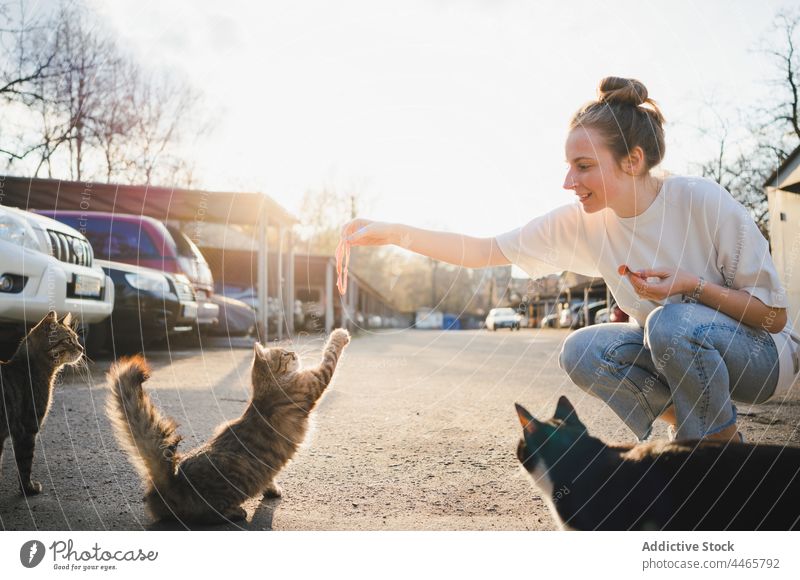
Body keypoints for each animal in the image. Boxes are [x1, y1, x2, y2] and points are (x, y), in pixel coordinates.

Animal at [0, 310, 84, 496]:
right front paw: (28, 488)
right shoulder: (28, 428)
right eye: (69, 340)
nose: (82, 348)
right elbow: (25, 463)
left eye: (76, 338)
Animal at [108, 328, 350, 524]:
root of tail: (171, 480)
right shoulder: (317, 379)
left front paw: (272, 489)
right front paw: (340, 335)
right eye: (285, 354)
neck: (267, 389)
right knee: (207, 515)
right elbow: (331, 354)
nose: (294, 354)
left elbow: (270, 478)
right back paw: (235, 513)